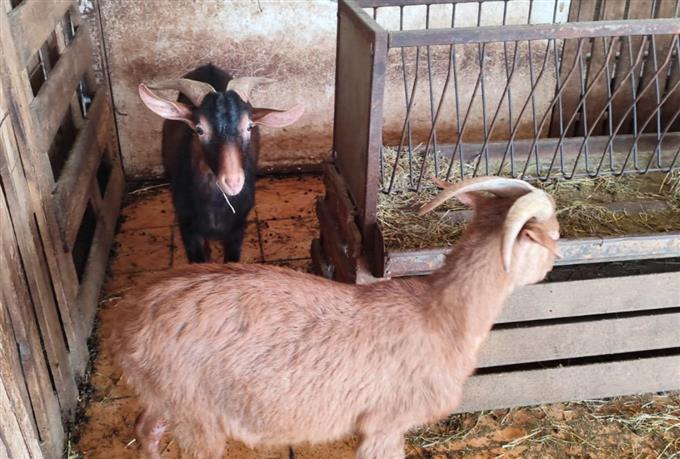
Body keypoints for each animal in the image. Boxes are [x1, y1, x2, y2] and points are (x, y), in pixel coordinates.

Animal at [106, 176, 562, 459]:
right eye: (552, 233)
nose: (553, 264)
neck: (442, 316)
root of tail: (126, 319)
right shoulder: (385, 424)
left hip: (167, 397)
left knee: (145, 428)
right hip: (195, 411)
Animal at [138, 64, 304, 263]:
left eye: (249, 127)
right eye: (199, 129)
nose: (232, 182)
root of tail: (208, 66)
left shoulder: (237, 229)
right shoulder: (187, 228)